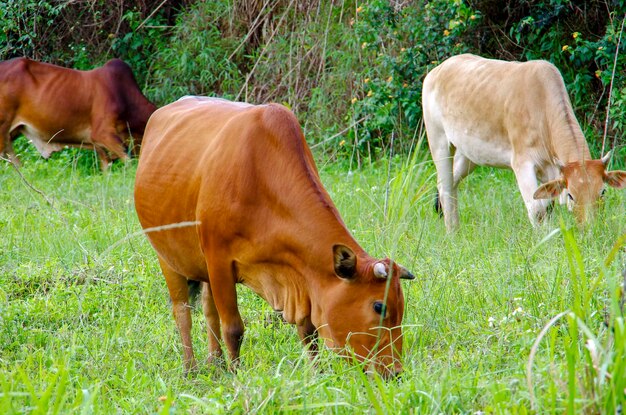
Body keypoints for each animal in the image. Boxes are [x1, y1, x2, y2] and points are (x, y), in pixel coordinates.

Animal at [420, 53, 624, 232]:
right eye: (571, 195)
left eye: (602, 192)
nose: (591, 228)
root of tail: (437, 71)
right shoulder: (522, 163)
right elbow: (537, 210)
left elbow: (546, 206)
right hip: (438, 141)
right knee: (445, 186)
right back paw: (452, 232)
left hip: (468, 153)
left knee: (449, 184)